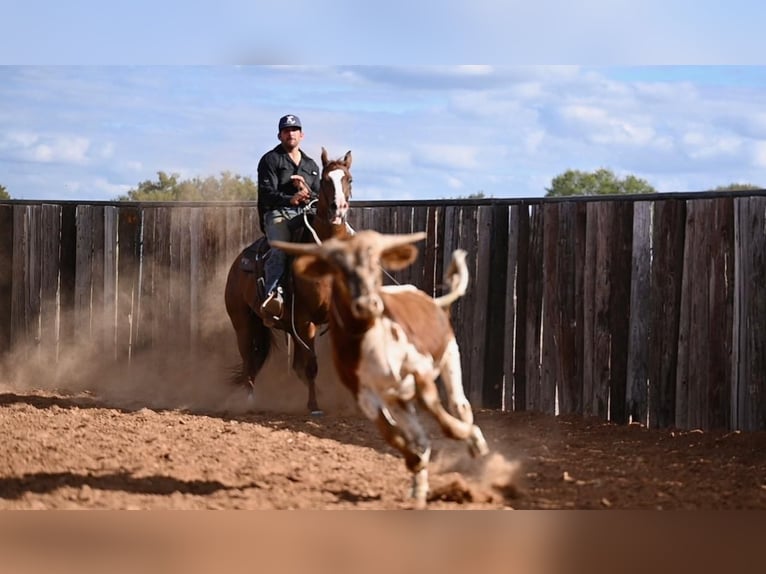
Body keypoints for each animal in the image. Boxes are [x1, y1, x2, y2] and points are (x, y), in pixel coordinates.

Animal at [222, 147, 354, 414]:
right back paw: (249, 401)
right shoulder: (305, 320)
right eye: (326, 180)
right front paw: (314, 406)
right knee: (249, 360)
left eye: (349, 179)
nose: (338, 209)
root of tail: (238, 263)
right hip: (243, 323)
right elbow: (312, 365)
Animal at [274, 230, 492, 508]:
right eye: (338, 269)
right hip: (396, 398)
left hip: (449, 358)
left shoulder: (419, 370)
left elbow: (438, 414)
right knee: (418, 436)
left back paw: (475, 444)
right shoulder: (364, 394)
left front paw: (471, 437)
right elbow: (391, 433)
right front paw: (414, 461)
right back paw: (418, 488)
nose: (368, 304)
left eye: (376, 264)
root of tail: (430, 300)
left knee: (458, 406)